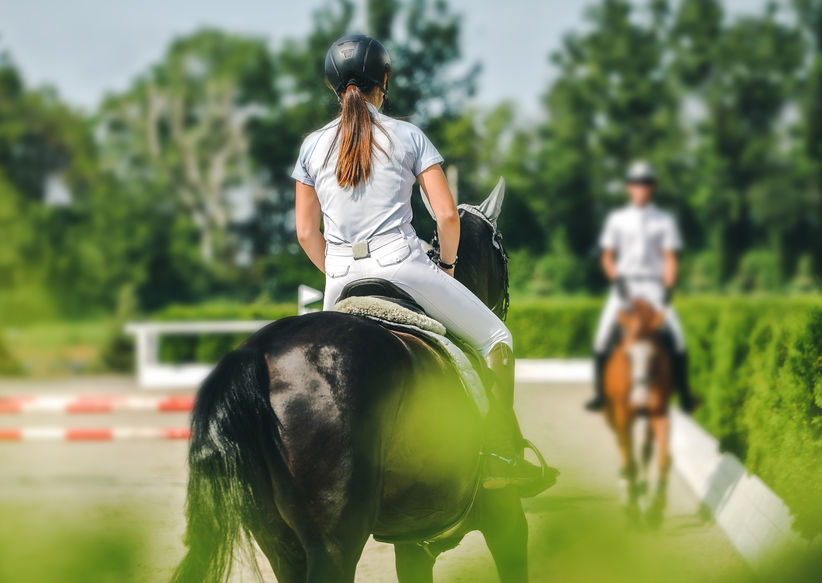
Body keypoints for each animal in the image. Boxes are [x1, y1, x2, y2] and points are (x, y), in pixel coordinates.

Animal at [171, 180, 536, 580]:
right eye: (503, 251)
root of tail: (257, 353)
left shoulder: (413, 544)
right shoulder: (506, 518)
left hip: (279, 542)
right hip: (335, 541)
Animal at [604, 298, 676, 528]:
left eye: (655, 355)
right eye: (627, 355)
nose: (640, 399)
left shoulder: (659, 413)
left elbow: (663, 458)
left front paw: (655, 510)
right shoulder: (622, 416)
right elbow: (629, 460)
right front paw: (633, 510)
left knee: (644, 452)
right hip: (611, 416)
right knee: (624, 449)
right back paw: (629, 496)